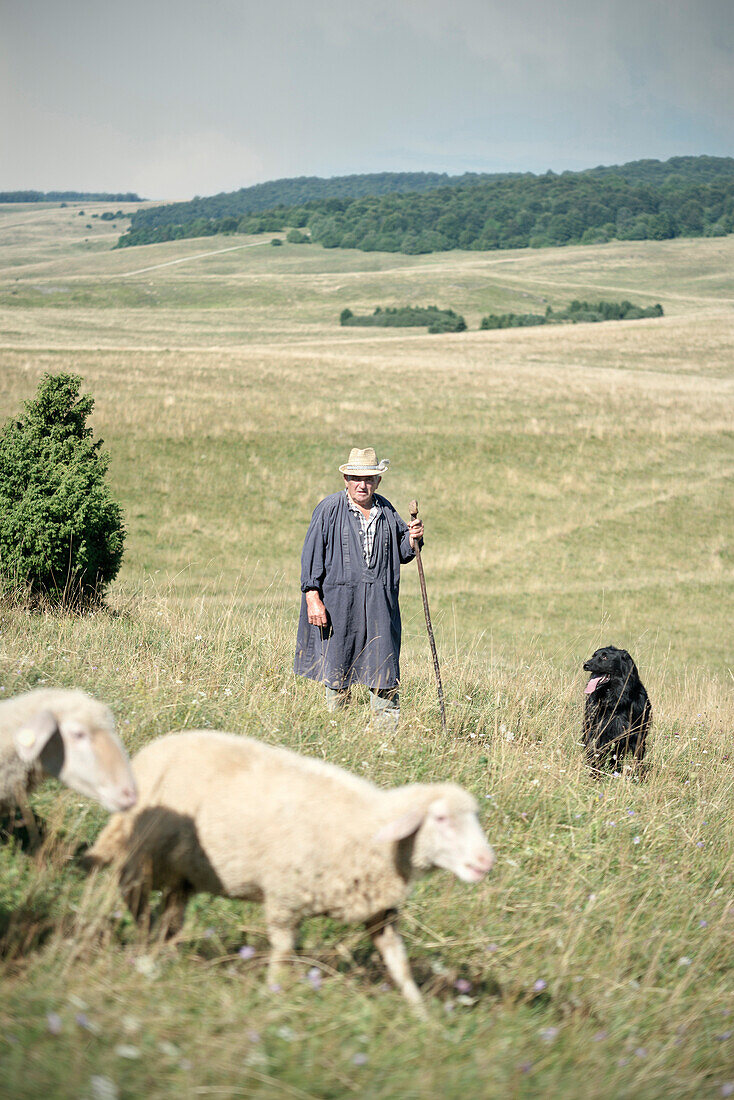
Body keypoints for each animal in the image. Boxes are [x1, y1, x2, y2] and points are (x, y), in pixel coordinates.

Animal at [89, 734, 497, 1007]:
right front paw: (274, 992)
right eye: (441, 819)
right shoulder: (285, 897)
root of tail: (149, 753)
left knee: (170, 916)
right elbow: (284, 950)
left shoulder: (379, 910)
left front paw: (419, 1011)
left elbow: (398, 963)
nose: (485, 862)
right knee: (134, 898)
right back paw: (143, 947)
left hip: (182, 875)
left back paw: (165, 952)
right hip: (141, 857)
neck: (369, 825)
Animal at [581, 642, 651, 770]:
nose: (585, 665)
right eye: (593, 656)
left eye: (605, 657)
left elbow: (637, 761)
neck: (616, 700)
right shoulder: (598, 731)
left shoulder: (637, 735)